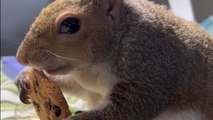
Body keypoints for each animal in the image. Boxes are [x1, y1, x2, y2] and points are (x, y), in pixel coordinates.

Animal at [15, 0, 213, 120]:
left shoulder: (152, 64)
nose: (21, 58)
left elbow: (131, 108)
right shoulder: (90, 87)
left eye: (70, 24)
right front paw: (25, 78)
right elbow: (77, 87)